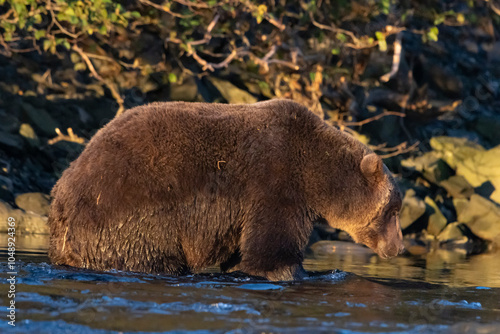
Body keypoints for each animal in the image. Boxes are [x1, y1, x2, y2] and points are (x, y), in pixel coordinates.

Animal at [48, 100, 404, 282]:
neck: (317, 175)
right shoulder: (275, 182)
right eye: (393, 210)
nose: (398, 247)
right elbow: (272, 248)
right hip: (132, 215)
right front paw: (294, 271)